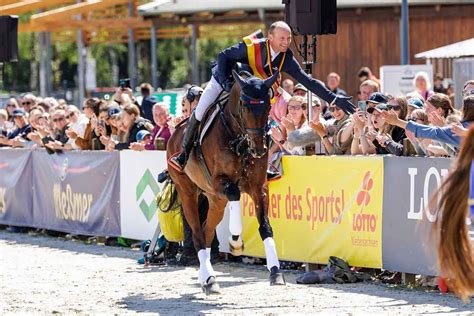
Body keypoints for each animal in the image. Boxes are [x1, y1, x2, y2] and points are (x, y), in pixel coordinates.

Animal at [167, 70, 286, 296]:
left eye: (268, 106)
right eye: (245, 106)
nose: (259, 149)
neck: (240, 141)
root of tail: (174, 135)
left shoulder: (258, 187)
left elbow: (266, 227)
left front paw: (275, 272)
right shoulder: (220, 182)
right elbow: (234, 194)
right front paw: (236, 242)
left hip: (215, 201)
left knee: (206, 232)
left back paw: (205, 277)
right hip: (188, 193)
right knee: (197, 234)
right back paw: (210, 279)